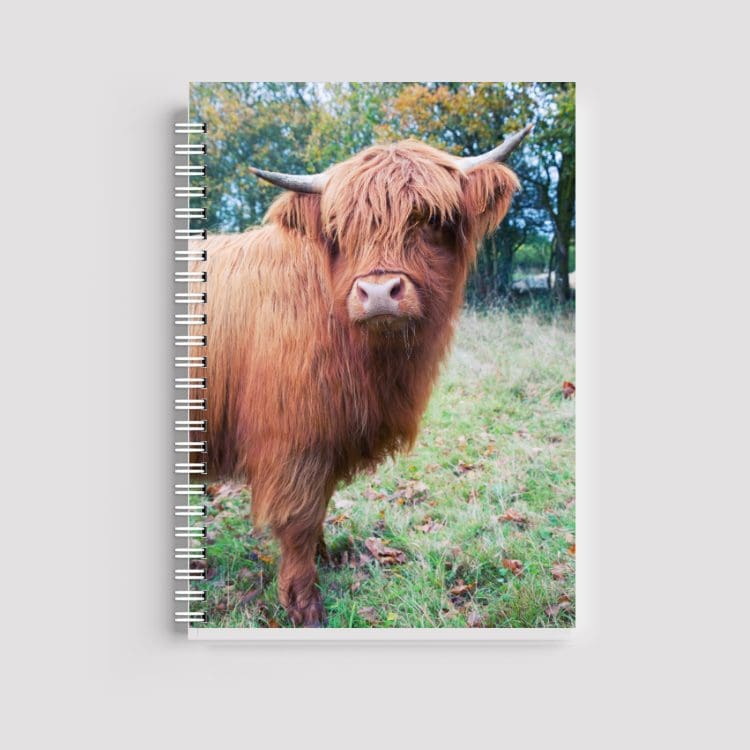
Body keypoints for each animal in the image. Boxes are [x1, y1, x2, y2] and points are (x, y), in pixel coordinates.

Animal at [191, 125, 531, 626]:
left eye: (429, 219)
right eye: (340, 229)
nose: (378, 292)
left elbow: (319, 509)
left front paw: (326, 557)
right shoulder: (294, 440)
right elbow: (299, 519)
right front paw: (304, 604)